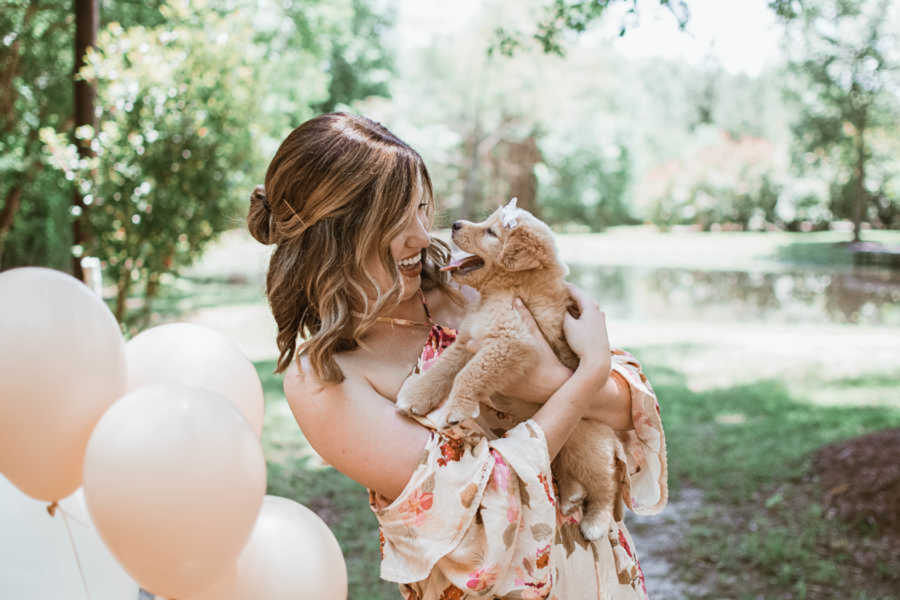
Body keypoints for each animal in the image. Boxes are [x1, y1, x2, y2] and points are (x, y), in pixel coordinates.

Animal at [398, 199, 624, 540]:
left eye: (491, 232)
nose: (456, 224)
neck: (506, 290)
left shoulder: (511, 341)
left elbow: (469, 373)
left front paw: (457, 409)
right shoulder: (468, 341)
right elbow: (444, 369)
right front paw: (416, 396)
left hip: (585, 443)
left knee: (604, 482)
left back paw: (596, 520)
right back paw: (570, 495)